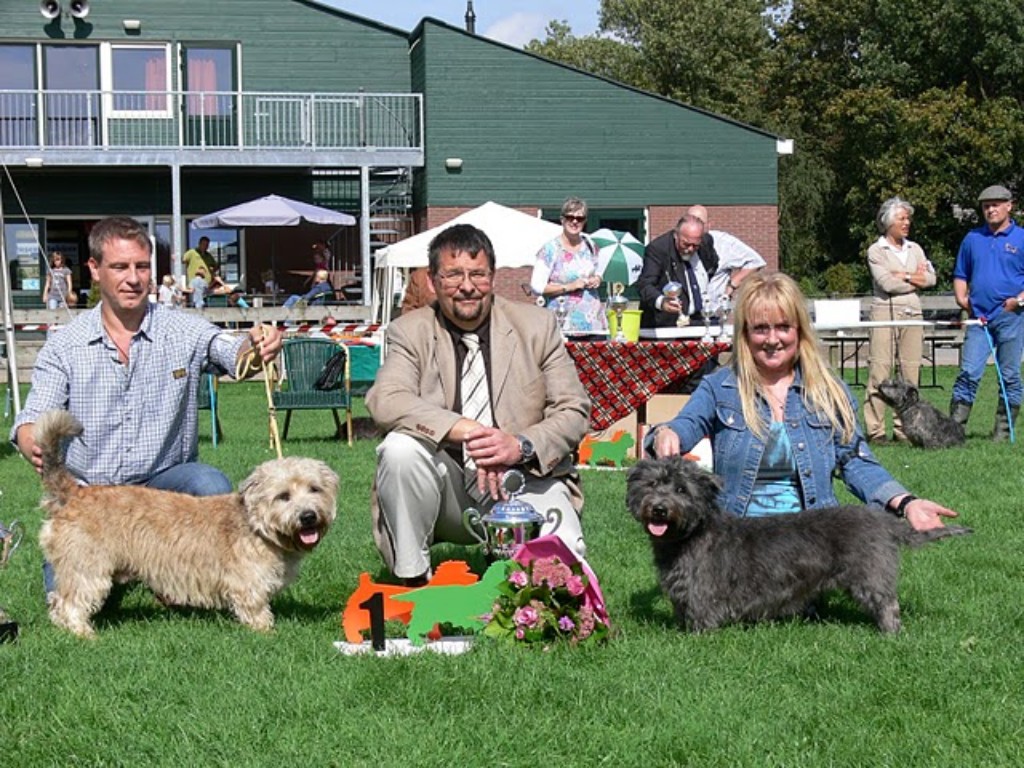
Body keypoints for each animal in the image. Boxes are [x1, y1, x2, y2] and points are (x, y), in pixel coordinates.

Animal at [36, 411, 337, 638]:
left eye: (314, 489)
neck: (258, 527)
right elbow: (256, 609)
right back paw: (83, 634)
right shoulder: (248, 584)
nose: (308, 516)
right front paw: (267, 632)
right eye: (283, 496)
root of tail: (73, 493)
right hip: (86, 568)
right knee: (69, 603)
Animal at [622, 456, 966, 630]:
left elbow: (701, 620)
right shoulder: (681, 592)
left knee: (887, 604)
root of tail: (882, 521)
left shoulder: (702, 592)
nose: (659, 509)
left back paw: (890, 633)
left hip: (870, 575)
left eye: (682, 489)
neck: (687, 536)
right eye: (652, 484)